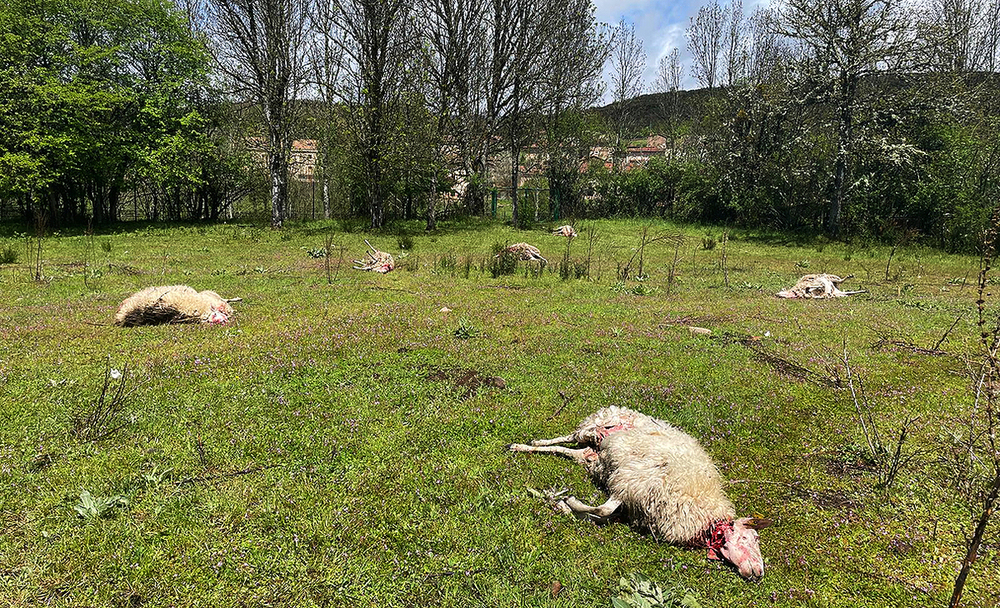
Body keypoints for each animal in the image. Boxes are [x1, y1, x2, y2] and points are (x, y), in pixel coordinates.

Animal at [508, 406, 772, 576]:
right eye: (748, 538)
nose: (759, 573)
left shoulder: (632, 499)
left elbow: (601, 514)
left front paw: (563, 505)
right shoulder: (630, 483)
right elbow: (603, 510)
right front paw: (568, 501)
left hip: (592, 455)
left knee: (565, 450)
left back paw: (528, 448)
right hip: (591, 428)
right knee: (565, 437)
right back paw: (528, 443)